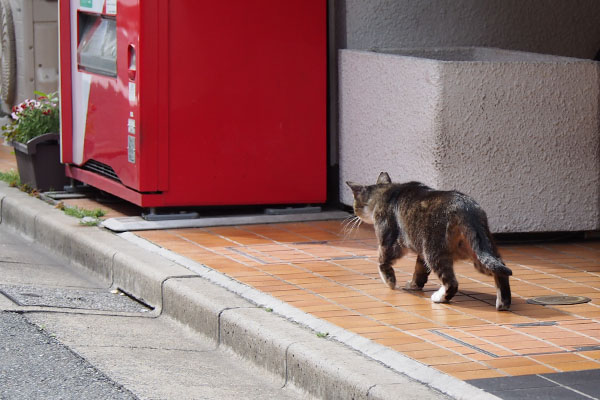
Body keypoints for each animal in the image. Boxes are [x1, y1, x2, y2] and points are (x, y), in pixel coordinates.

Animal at [346, 172, 510, 310]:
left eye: (355, 204)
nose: (354, 213)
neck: (386, 192)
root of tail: (466, 207)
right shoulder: (421, 252)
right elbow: (419, 270)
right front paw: (414, 285)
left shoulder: (389, 242)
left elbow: (382, 261)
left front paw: (390, 282)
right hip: (479, 250)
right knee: (501, 271)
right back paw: (503, 303)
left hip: (434, 252)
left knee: (452, 283)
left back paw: (439, 297)